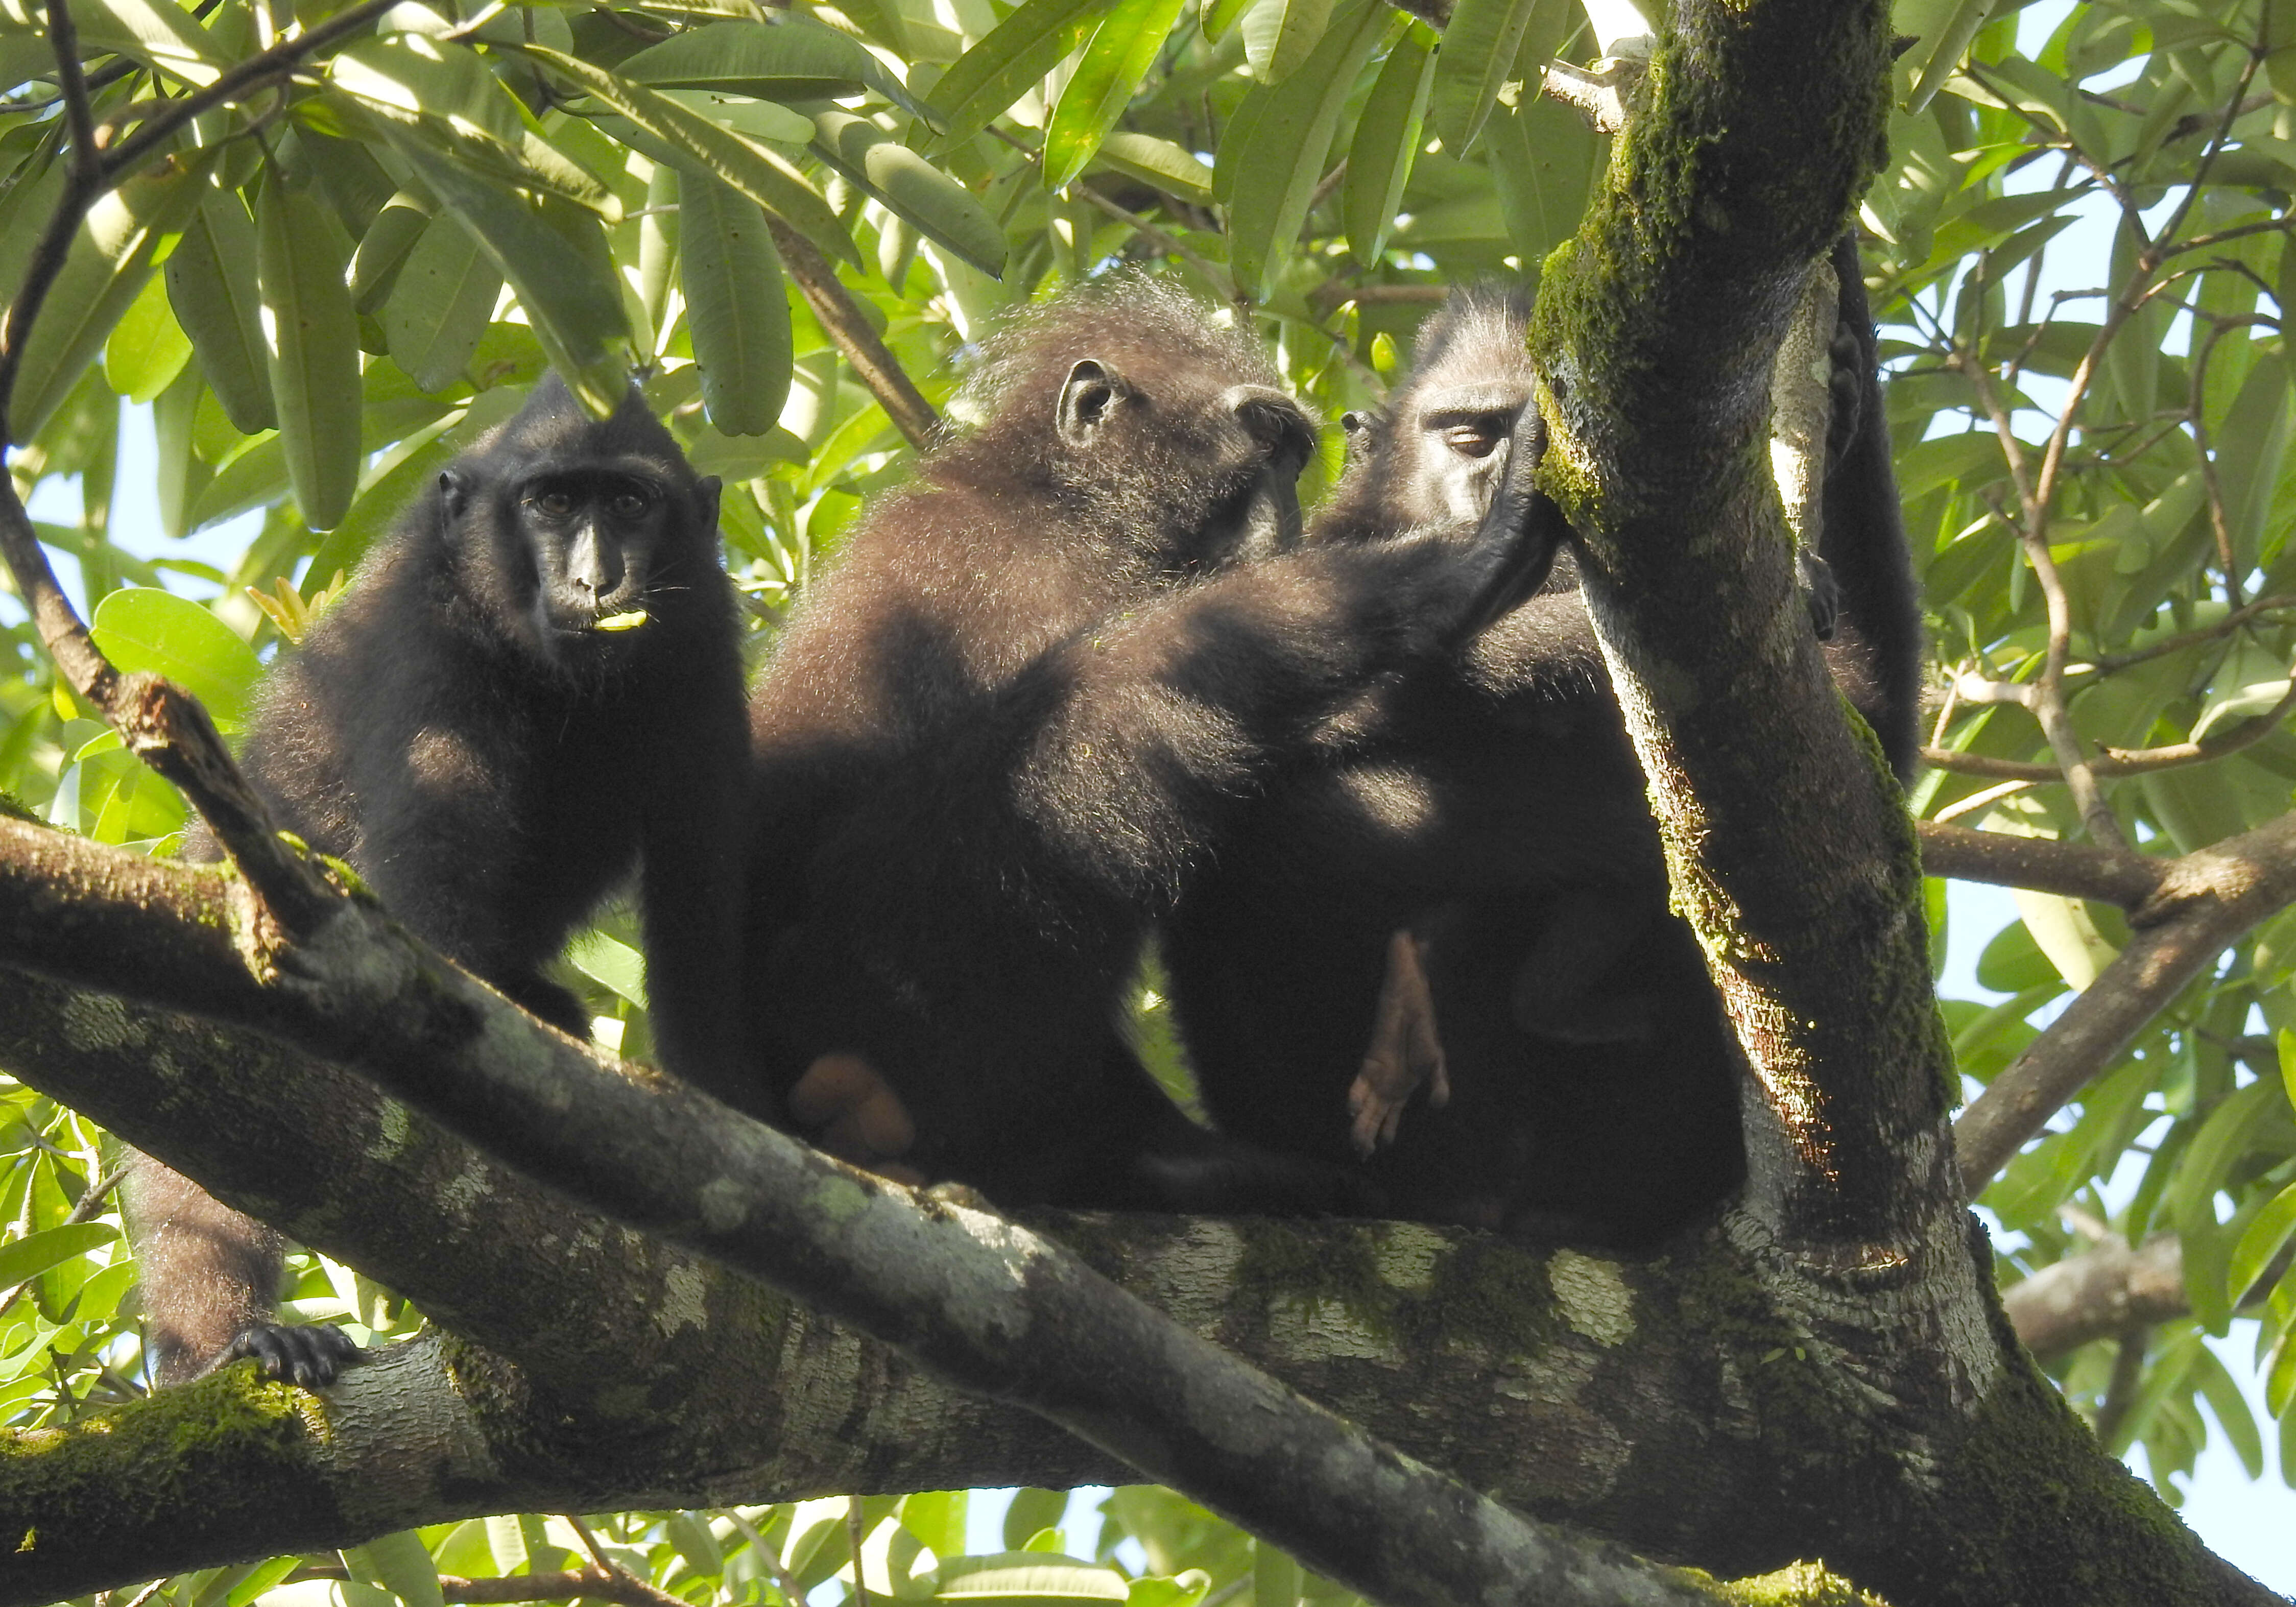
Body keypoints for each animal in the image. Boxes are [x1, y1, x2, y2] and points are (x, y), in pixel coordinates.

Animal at [128, 374, 744, 1377]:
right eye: (551, 503)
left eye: (629, 501)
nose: (597, 578)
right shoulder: (432, 642)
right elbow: (431, 885)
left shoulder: (704, 641)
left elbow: (702, 904)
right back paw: (232, 1339)